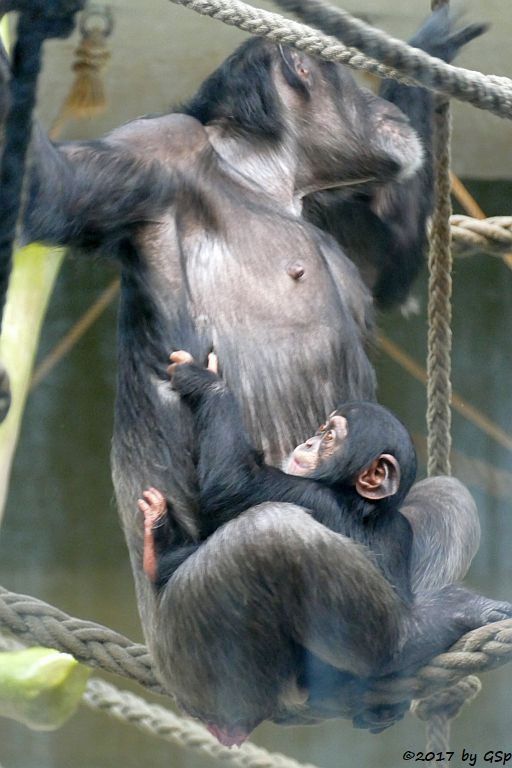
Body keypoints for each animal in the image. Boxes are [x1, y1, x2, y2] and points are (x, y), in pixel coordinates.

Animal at [139, 352, 416, 604]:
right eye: (322, 429)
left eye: (329, 437)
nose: (309, 441)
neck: (360, 503)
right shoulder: (400, 528)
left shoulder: (312, 497)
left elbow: (234, 482)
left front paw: (203, 380)